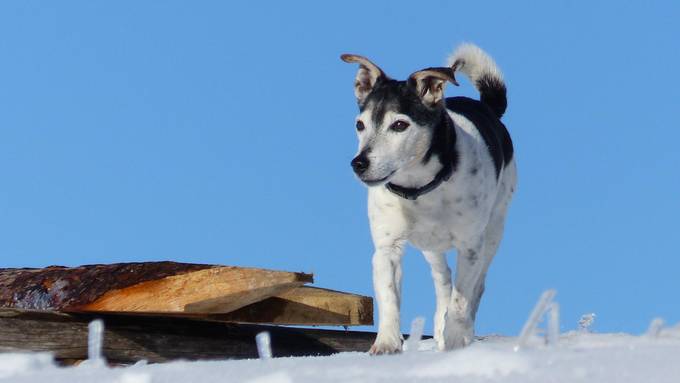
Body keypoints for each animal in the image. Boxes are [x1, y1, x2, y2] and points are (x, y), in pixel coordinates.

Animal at [340, 44, 516, 354]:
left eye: (400, 125)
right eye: (360, 125)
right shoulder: (387, 248)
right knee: (442, 278)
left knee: (476, 287)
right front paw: (386, 344)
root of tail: (487, 108)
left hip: (494, 230)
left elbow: (461, 299)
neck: (420, 189)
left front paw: (457, 341)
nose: (358, 163)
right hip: (430, 246)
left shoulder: (470, 247)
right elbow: (389, 298)